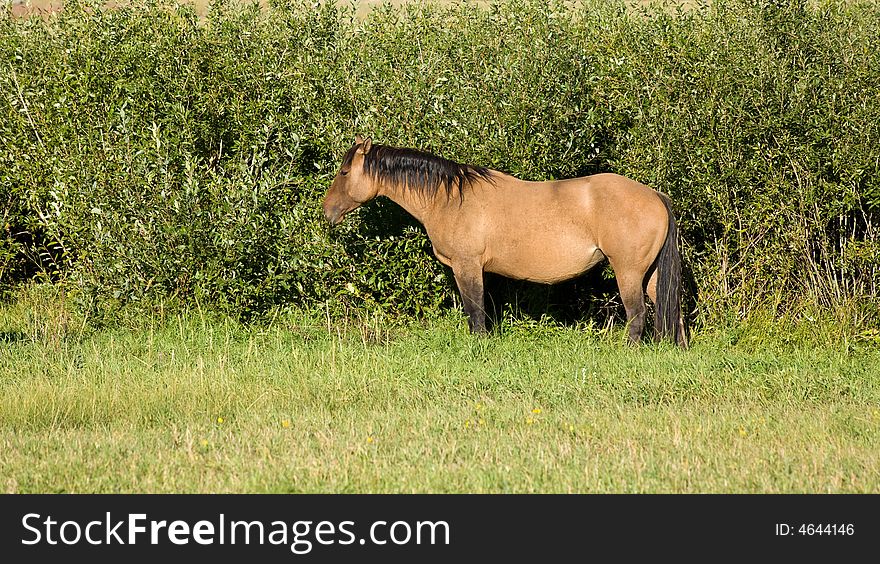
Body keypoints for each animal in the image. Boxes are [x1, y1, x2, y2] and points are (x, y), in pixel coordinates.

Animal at [324, 137, 688, 348]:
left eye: (344, 172)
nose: (327, 211)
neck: (450, 199)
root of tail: (655, 195)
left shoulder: (467, 266)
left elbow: (475, 310)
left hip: (628, 272)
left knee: (637, 314)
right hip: (652, 274)